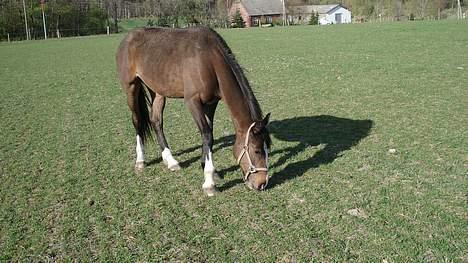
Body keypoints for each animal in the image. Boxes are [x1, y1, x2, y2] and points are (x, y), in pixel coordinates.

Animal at [115, 27, 272, 196]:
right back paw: (140, 160)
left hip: (157, 91)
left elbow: (209, 134)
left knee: (156, 121)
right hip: (131, 87)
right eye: (257, 150)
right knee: (137, 120)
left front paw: (210, 169)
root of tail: (128, 37)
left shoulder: (211, 103)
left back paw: (170, 160)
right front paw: (209, 183)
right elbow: (207, 134)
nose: (262, 183)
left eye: (267, 148)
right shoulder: (192, 101)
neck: (209, 60)